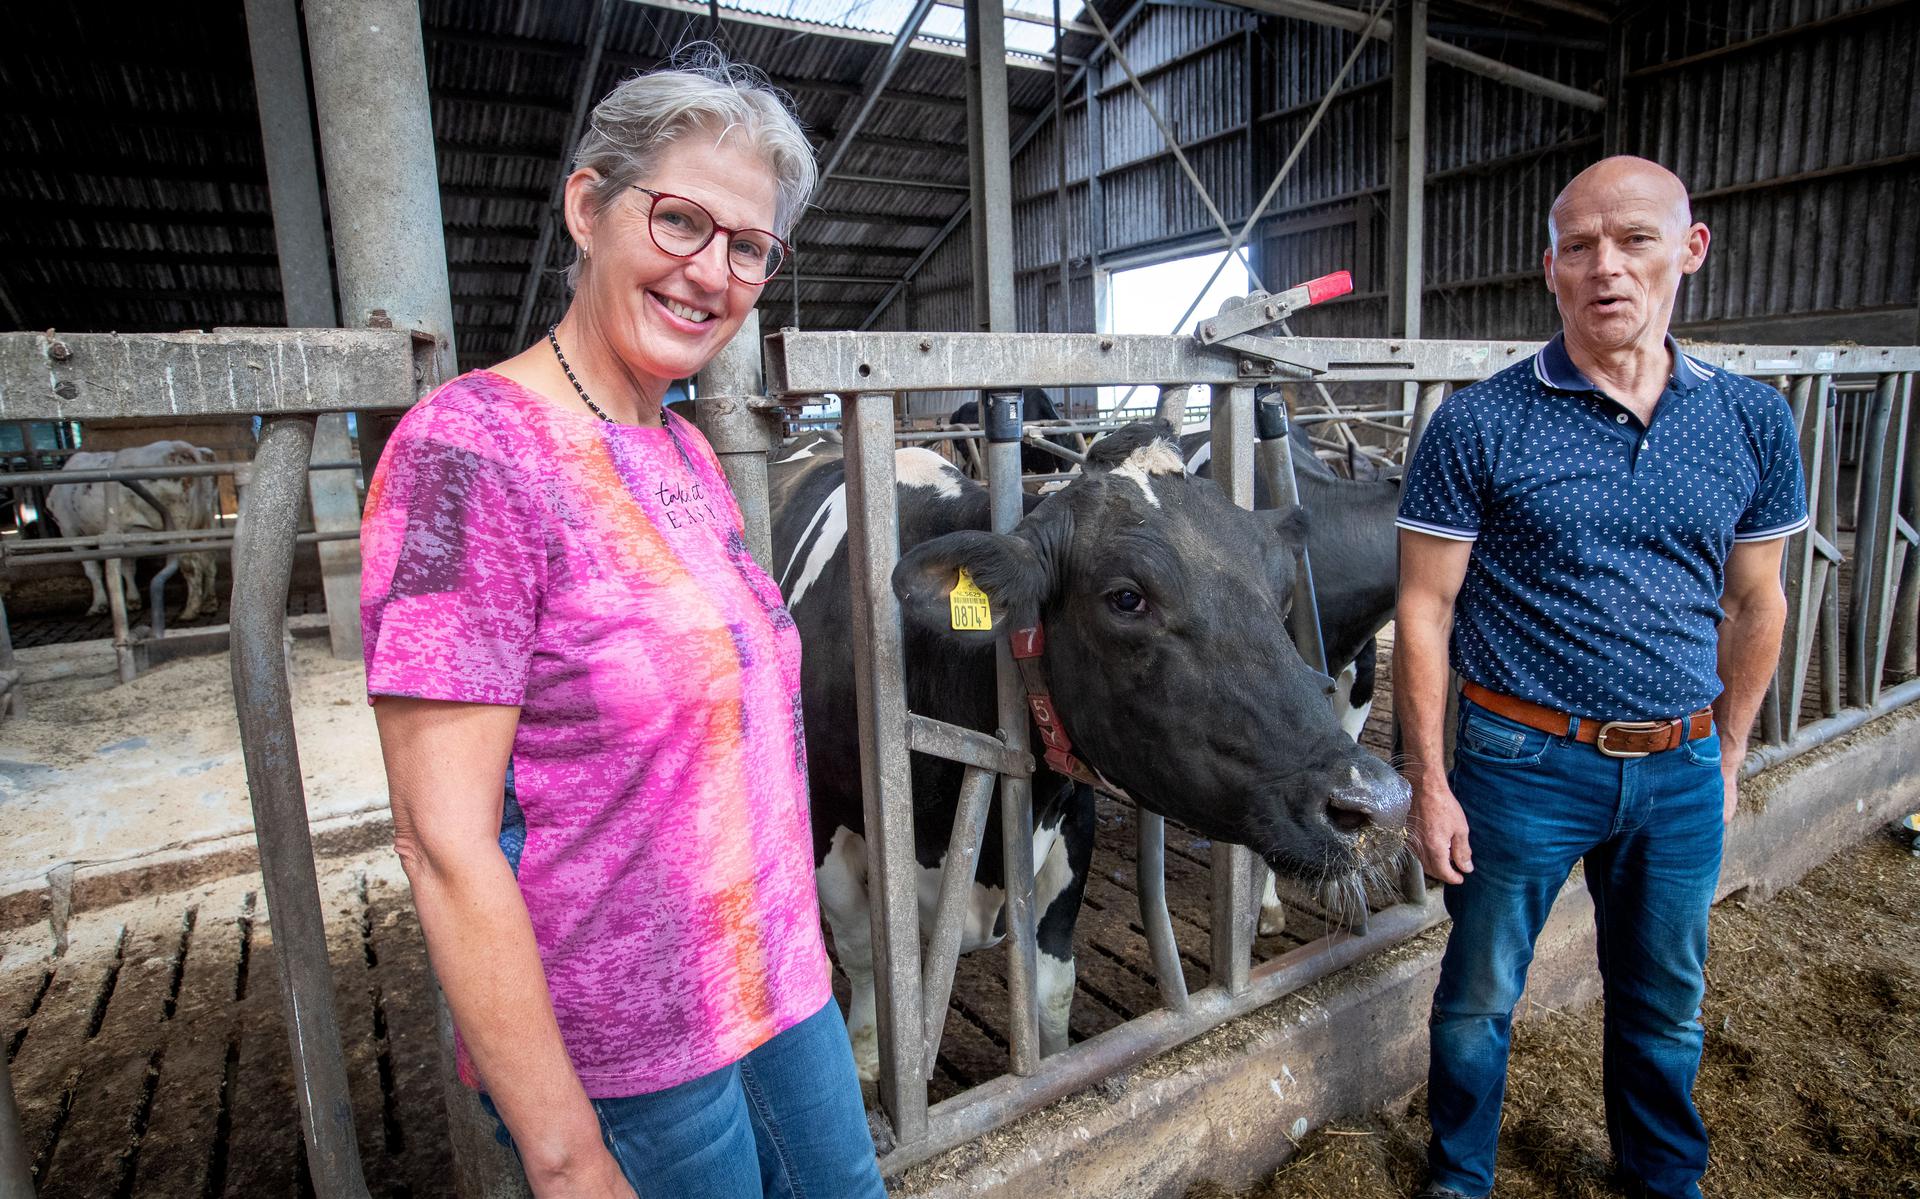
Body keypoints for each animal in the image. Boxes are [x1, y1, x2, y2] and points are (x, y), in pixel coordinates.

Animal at [46, 441, 219, 626]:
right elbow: (127, 567)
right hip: (207, 518)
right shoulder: (127, 535)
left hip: (178, 524)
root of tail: (184, 447)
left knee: (191, 564)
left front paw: (98, 605)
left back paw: (190, 610)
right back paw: (209, 603)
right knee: (208, 557)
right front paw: (132, 600)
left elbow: (92, 570)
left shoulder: (70, 532)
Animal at [768, 418, 1413, 1076]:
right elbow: (863, 956)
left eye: (1283, 592)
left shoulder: (1070, 816)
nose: (1381, 803)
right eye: (1127, 597)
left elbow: (1053, 991)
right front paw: (869, 1060)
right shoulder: (825, 833)